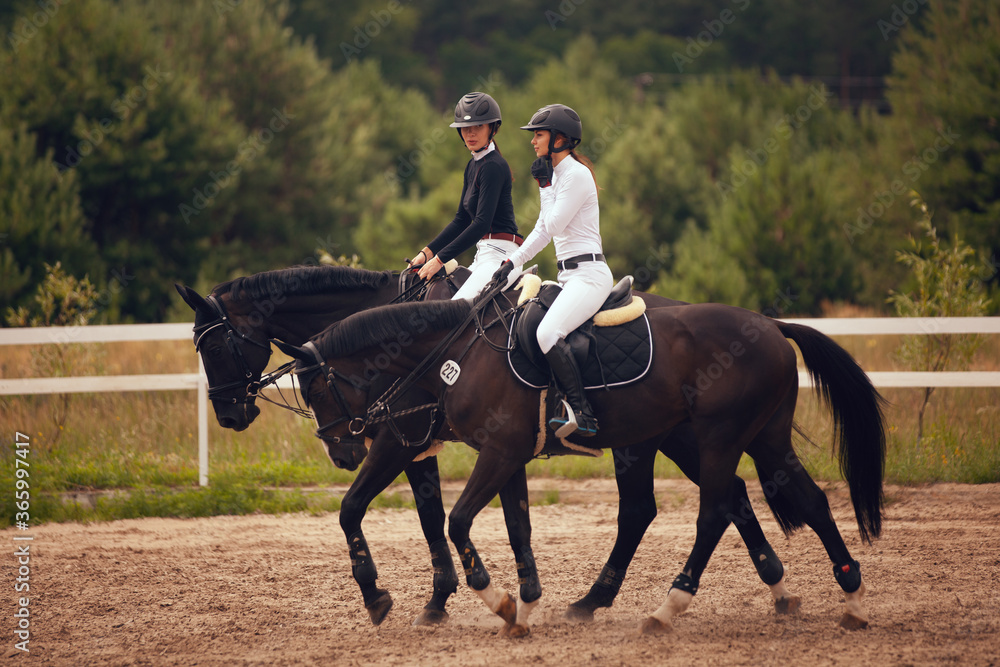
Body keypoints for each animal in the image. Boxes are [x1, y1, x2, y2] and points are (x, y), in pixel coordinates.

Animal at [174, 266, 796, 628]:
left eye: (217, 347)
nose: (229, 414)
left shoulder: (403, 440)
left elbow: (406, 514)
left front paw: (417, 598)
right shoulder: (430, 446)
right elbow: (443, 517)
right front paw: (456, 598)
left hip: (670, 440)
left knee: (687, 505)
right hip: (675, 438)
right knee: (728, 498)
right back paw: (775, 587)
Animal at [278, 290, 888, 640]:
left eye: (318, 390)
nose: (340, 451)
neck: (452, 354)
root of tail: (771, 326)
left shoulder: (490, 453)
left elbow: (456, 522)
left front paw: (498, 601)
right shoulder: (505, 456)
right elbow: (514, 525)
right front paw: (524, 607)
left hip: (716, 438)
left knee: (711, 511)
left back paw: (667, 607)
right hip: (755, 439)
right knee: (806, 501)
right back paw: (851, 600)